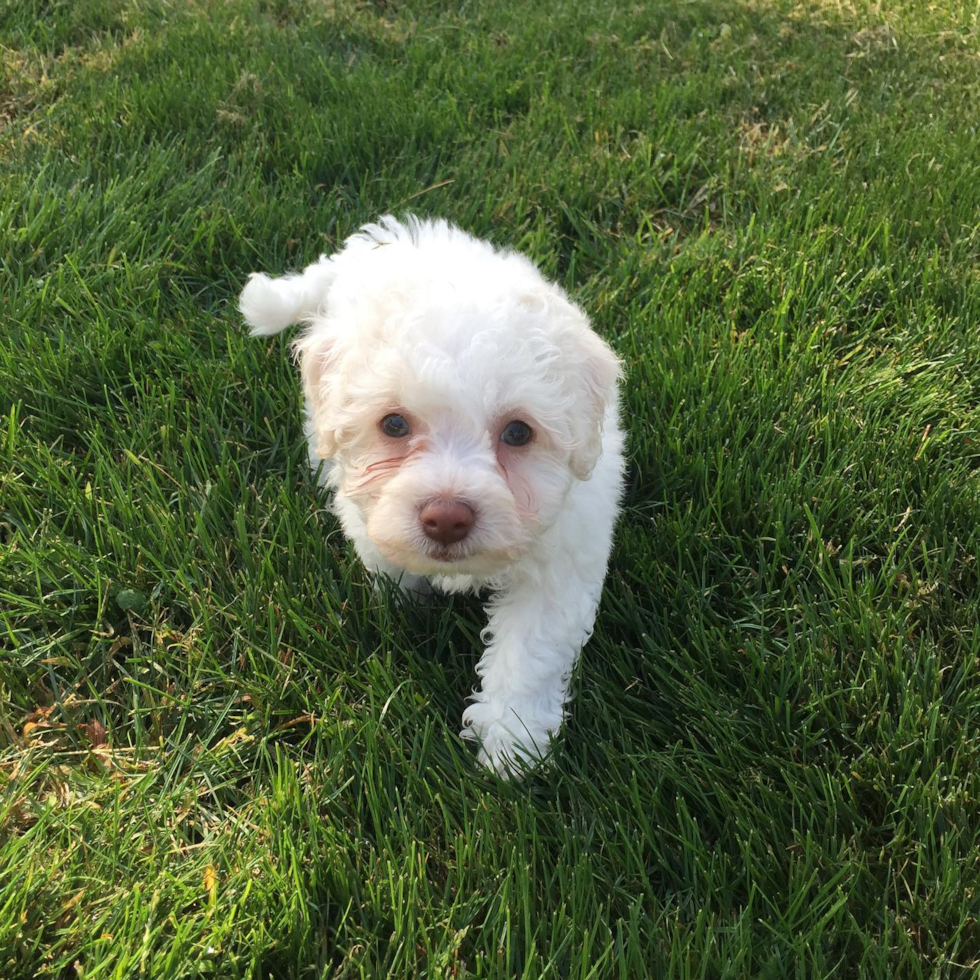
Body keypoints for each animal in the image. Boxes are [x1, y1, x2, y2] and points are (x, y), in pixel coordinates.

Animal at [241, 216, 624, 780]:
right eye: (394, 425)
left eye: (518, 433)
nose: (446, 518)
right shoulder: (368, 516)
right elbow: (390, 565)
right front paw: (407, 604)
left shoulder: (562, 560)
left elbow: (528, 652)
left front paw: (511, 747)